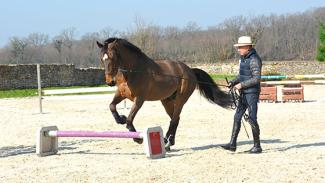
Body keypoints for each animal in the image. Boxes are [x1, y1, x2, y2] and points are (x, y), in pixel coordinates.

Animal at [96, 38, 230, 149]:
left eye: (113, 57)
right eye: (102, 59)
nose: (110, 82)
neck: (132, 71)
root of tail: (190, 70)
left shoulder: (139, 99)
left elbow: (130, 119)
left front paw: (137, 139)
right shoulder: (121, 94)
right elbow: (112, 106)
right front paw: (120, 119)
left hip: (180, 100)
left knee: (174, 119)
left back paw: (166, 141)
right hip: (166, 101)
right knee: (176, 119)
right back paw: (169, 142)